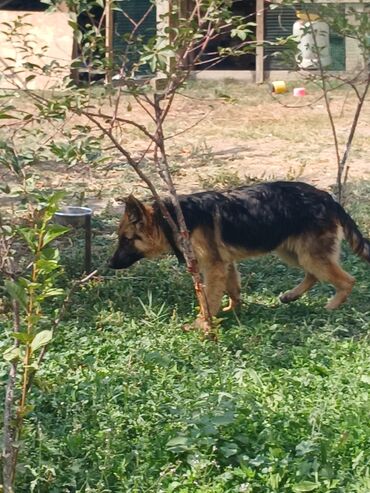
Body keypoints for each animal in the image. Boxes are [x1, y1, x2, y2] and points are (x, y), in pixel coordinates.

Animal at [110, 181, 370, 320]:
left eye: (126, 240)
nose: (110, 265)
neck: (170, 219)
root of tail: (327, 197)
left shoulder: (213, 267)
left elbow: (210, 298)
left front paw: (203, 323)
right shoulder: (226, 265)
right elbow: (232, 290)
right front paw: (232, 310)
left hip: (309, 255)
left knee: (347, 280)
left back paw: (332, 307)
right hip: (292, 252)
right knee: (313, 275)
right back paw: (292, 295)